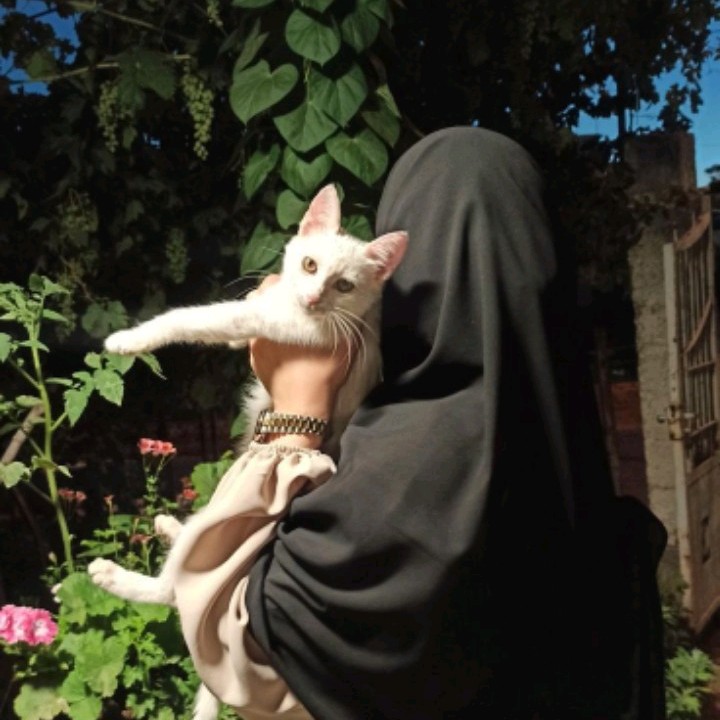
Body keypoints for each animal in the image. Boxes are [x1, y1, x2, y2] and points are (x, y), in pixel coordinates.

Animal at [86, 184, 407, 720]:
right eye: (310, 265)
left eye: (344, 286)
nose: (313, 297)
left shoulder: (288, 324)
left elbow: (198, 317)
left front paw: (129, 338)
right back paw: (169, 525)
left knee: (175, 592)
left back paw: (117, 575)